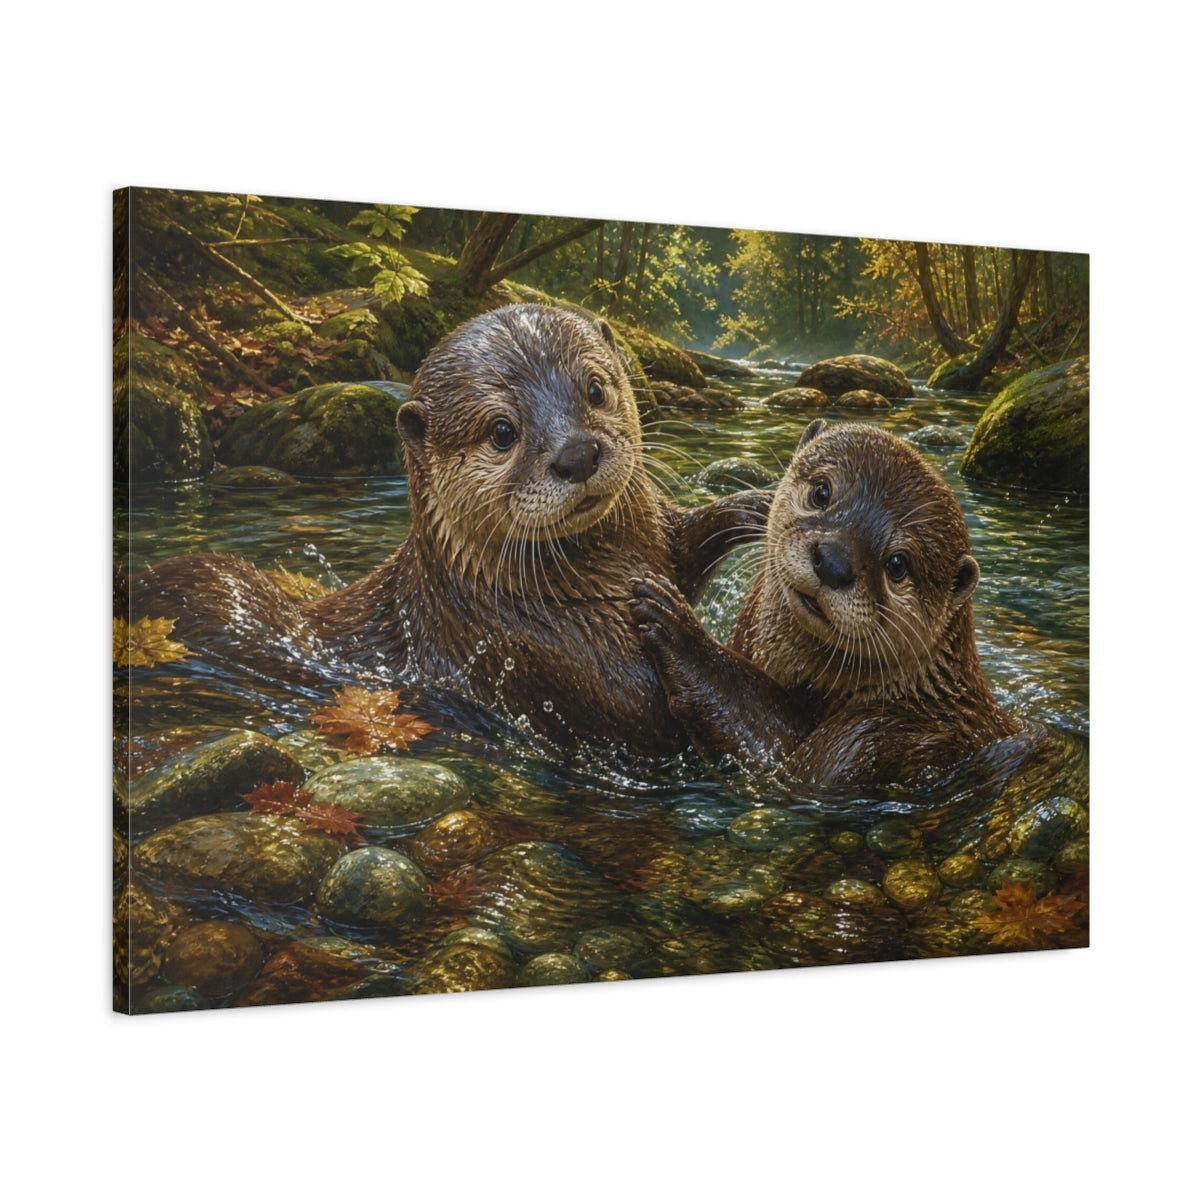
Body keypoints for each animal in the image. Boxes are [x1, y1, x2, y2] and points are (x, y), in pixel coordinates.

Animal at [130, 304, 769, 761]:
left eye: (595, 389)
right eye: (502, 431)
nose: (578, 454)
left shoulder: (656, 536)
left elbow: (689, 541)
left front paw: (757, 506)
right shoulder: (557, 665)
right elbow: (662, 716)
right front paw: (675, 628)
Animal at [630, 419, 1021, 786]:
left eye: (897, 564)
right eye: (822, 492)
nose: (833, 562)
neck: (918, 694)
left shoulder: (870, 739)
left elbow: (783, 755)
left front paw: (679, 630)